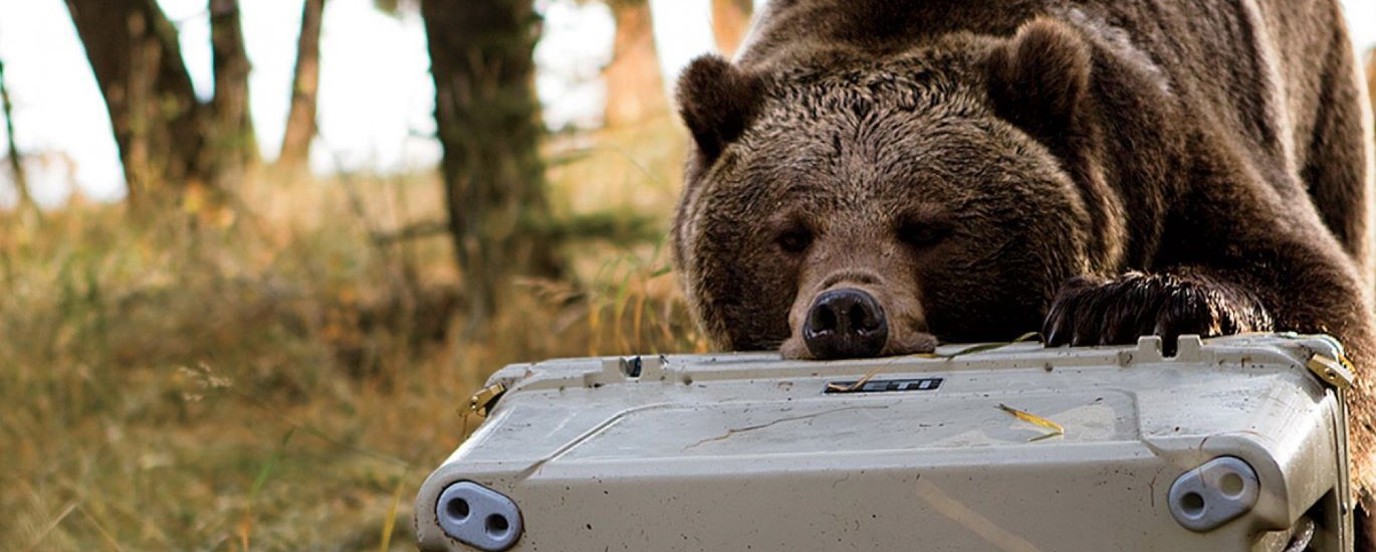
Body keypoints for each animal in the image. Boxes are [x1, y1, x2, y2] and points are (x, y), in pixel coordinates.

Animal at [674, 0, 1376, 545]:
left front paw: (1120, 305)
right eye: (791, 233)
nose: (845, 312)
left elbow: (1315, 287)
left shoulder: (1184, 130)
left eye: (925, 226)